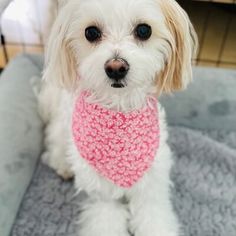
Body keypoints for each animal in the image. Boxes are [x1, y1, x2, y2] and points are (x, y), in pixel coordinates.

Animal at [38, 0, 197, 236]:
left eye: (144, 30)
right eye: (91, 32)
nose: (116, 67)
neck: (119, 111)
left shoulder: (151, 186)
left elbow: (153, 216)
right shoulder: (102, 194)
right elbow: (106, 217)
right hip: (63, 126)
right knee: (55, 140)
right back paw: (63, 166)